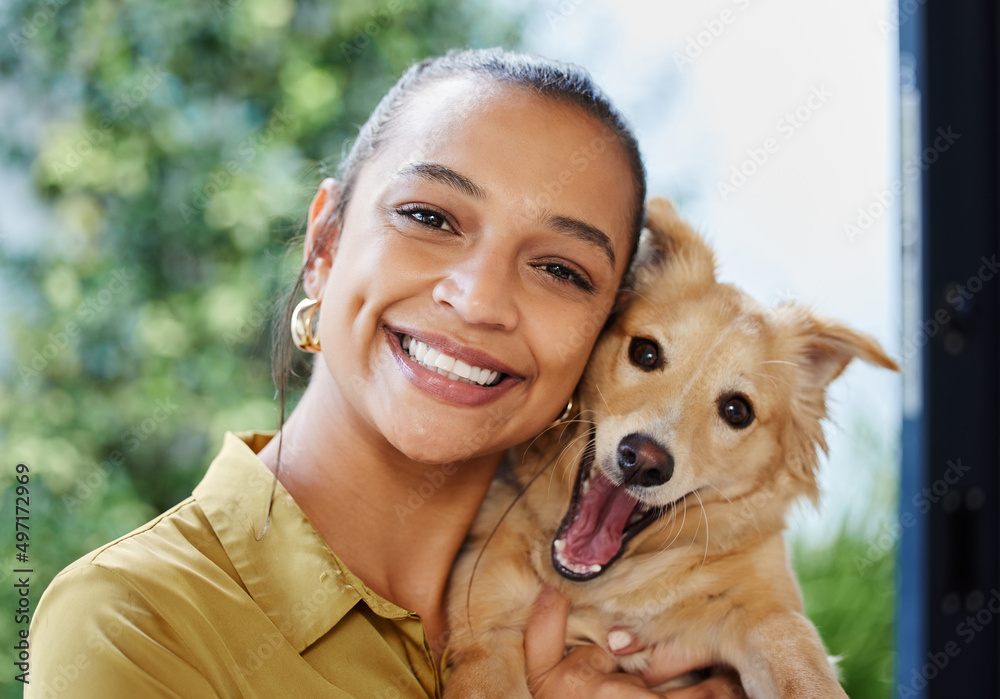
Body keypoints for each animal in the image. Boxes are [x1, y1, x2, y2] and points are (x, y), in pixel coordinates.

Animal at [444, 197, 900, 699]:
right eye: (645, 353)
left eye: (737, 411)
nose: (642, 462)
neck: (604, 588)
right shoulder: (484, 633)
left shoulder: (767, 611)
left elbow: (798, 659)